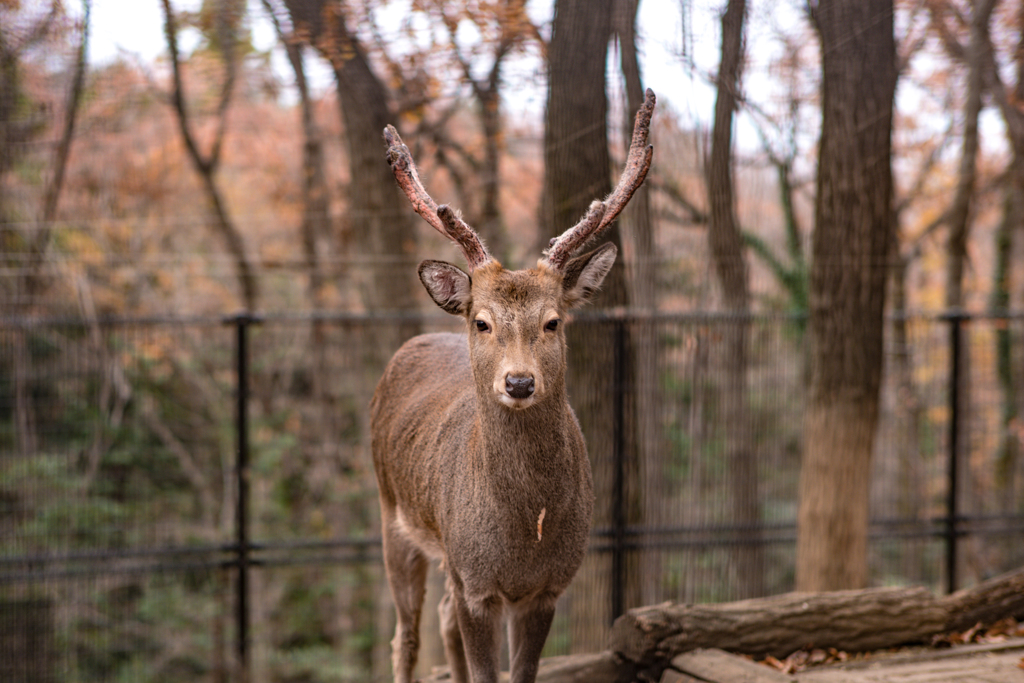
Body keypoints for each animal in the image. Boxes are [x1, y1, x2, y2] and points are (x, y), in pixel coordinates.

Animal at [370, 90, 655, 683]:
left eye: (553, 321)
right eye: (482, 321)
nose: (520, 381)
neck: (524, 535)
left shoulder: (547, 587)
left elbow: (519, 672)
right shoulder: (476, 581)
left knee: (442, 618)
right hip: (393, 516)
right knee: (405, 635)